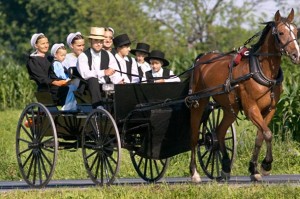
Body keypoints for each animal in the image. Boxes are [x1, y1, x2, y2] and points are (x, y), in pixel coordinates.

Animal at [189, 8, 298, 182]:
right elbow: (268, 133)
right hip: (198, 102)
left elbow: (261, 136)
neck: (261, 70)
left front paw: (254, 169)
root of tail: (201, 58)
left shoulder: (270, 110)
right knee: (193, 136)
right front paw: (266, 165)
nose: (296, 55)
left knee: (219, 132)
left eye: (296, 31)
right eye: (281, 33)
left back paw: (225, 167)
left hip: (229, 108)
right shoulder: (251, 108)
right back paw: (194, 172)